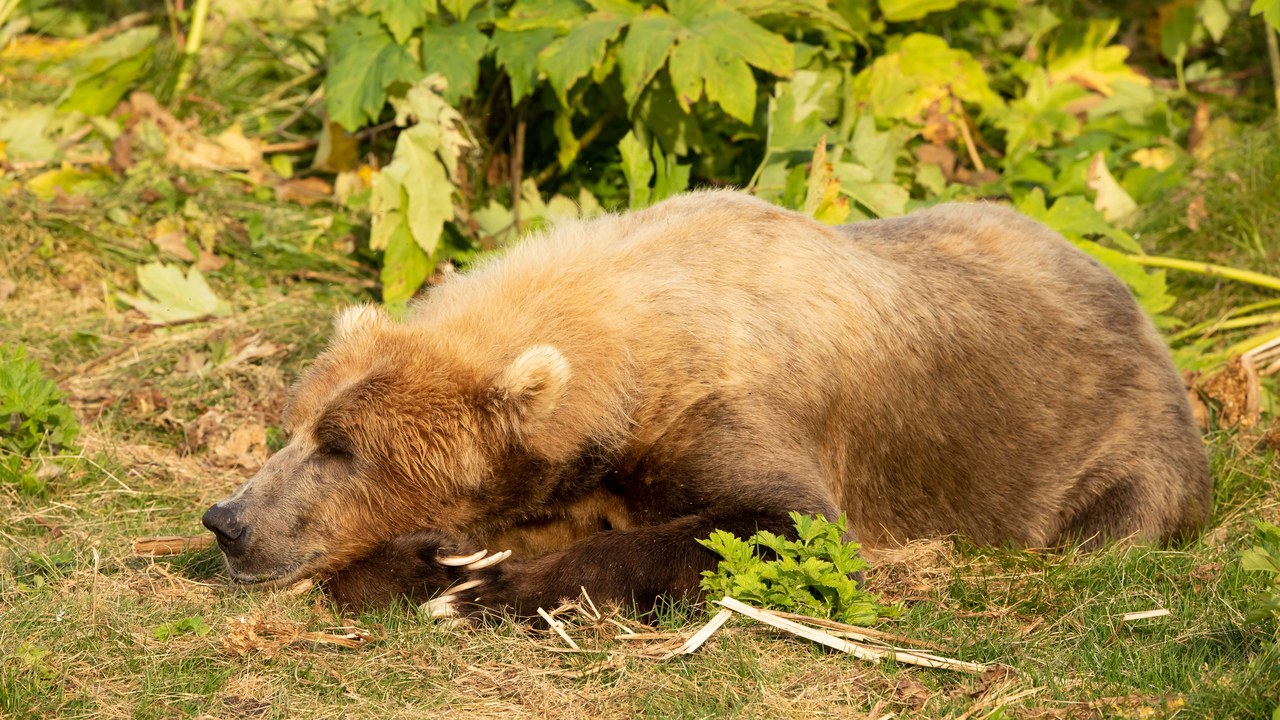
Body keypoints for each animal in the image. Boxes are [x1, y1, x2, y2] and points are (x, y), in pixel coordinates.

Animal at [201, 190, 1212, 617]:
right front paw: (442, 561)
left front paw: (488, 585)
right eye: (296, 425)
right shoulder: (580, 476)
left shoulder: (726, 409)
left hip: (1111, 443)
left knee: (1116, 516)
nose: (228, 521)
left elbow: (777, 524)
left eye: (344, 447)